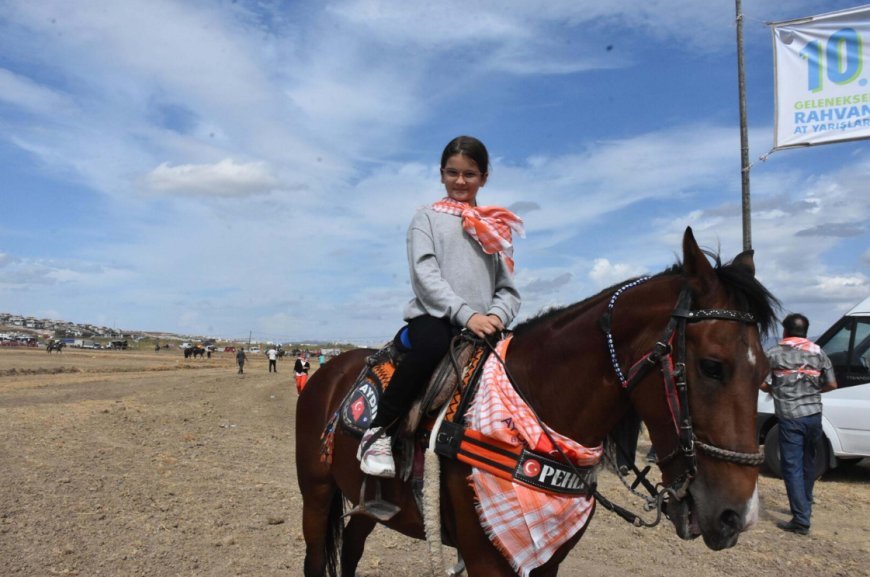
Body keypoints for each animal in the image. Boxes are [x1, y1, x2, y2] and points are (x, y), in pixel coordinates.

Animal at [296, 230, 780, 576]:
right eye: (712, 366)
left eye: (766, 373)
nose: (737, 516)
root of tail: (328, 370)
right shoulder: (487, 562)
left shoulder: (548, 560)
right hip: (317, 494)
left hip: (366, 504)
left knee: (352, 548)